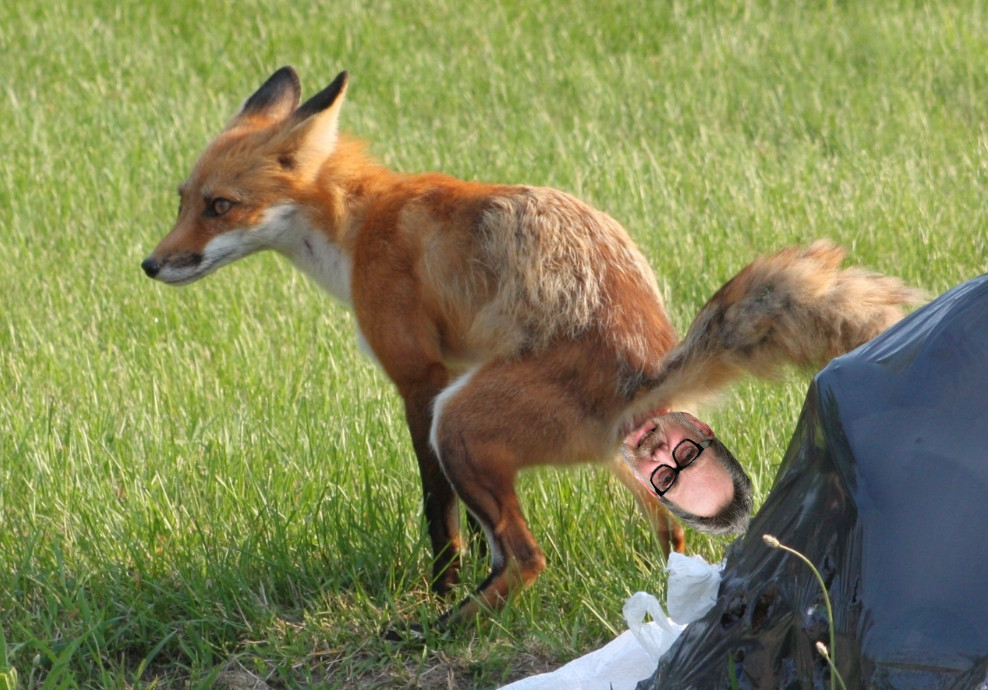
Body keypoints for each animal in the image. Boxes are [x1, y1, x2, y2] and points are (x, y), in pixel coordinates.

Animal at [142, 66, 922, 630]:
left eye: (219, 207)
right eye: (183, 199)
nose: (150, 265)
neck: (360, 225)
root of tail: (645, 362)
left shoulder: (421, 381)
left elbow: (438, 510)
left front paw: (438, 588)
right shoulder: (450, 370)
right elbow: (469, 524)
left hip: (459, 419)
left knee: (529, 558)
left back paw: (439, 629)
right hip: (606, 452)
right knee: (664, 536)